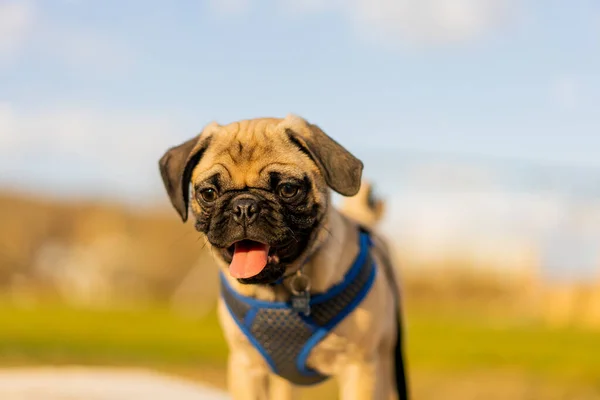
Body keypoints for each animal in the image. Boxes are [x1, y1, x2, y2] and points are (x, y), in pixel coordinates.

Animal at [158, 114, 408, 398]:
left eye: (288, 189)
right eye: (209, 193)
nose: (244, 206)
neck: (279, 294)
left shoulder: (360, 367)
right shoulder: (247, 367)